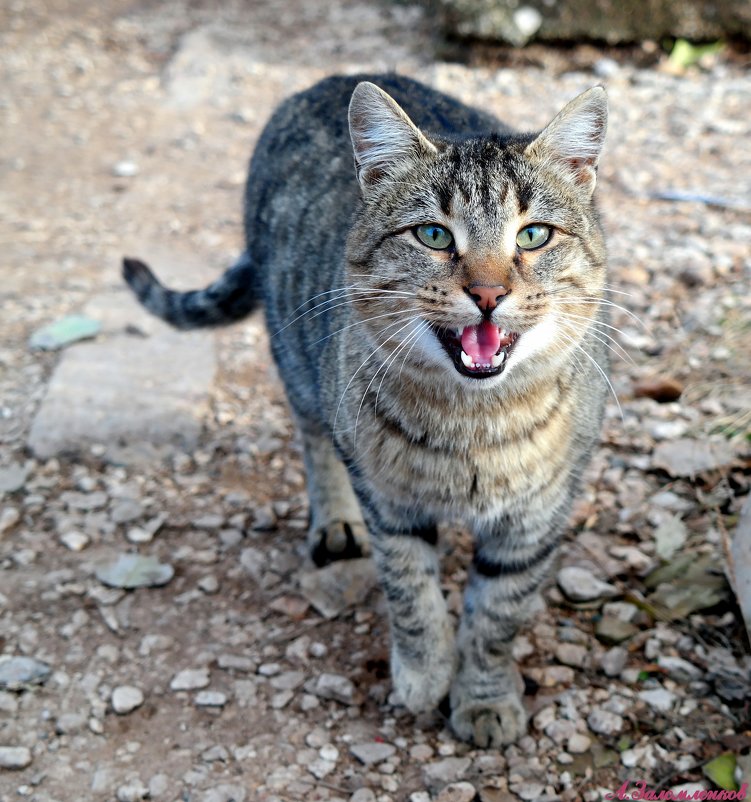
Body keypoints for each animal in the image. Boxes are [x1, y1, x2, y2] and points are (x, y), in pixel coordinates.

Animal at [125, 73, 612, 744]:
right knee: (315, 441)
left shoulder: (535, 519)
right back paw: (335, 522)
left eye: (533, 234)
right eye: (433, 235)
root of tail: (322, 81)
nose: (488, 293)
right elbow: (411, 594)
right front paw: (424, 677)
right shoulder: (389, 502)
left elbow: (496, 617)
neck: (476, 423)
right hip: (302, 369)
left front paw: (483, 698)